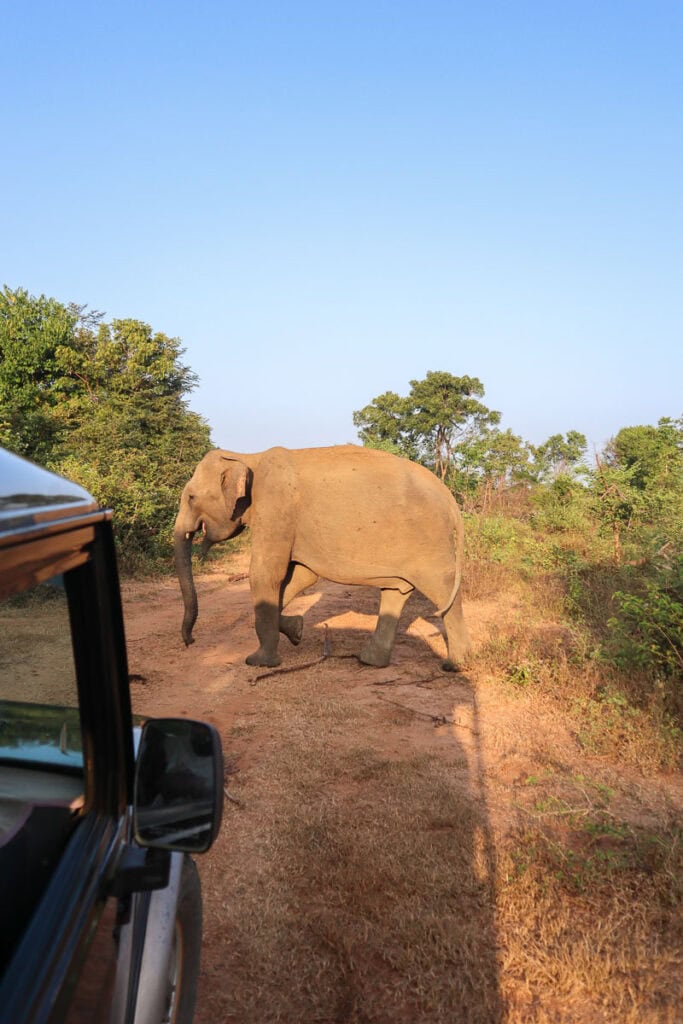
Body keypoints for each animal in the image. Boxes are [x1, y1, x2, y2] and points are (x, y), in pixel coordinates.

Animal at [174, 442, 471, 667]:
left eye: (191, 497)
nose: (190, 641)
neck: (248, 457)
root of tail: (448, 495)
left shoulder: (276, 508)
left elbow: (266, 574)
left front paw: (257, 662)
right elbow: (300, 578)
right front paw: (297, 630)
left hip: (430, 542)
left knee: (442, 591)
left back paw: (455, 665)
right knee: (396, 592)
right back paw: (369, 661)